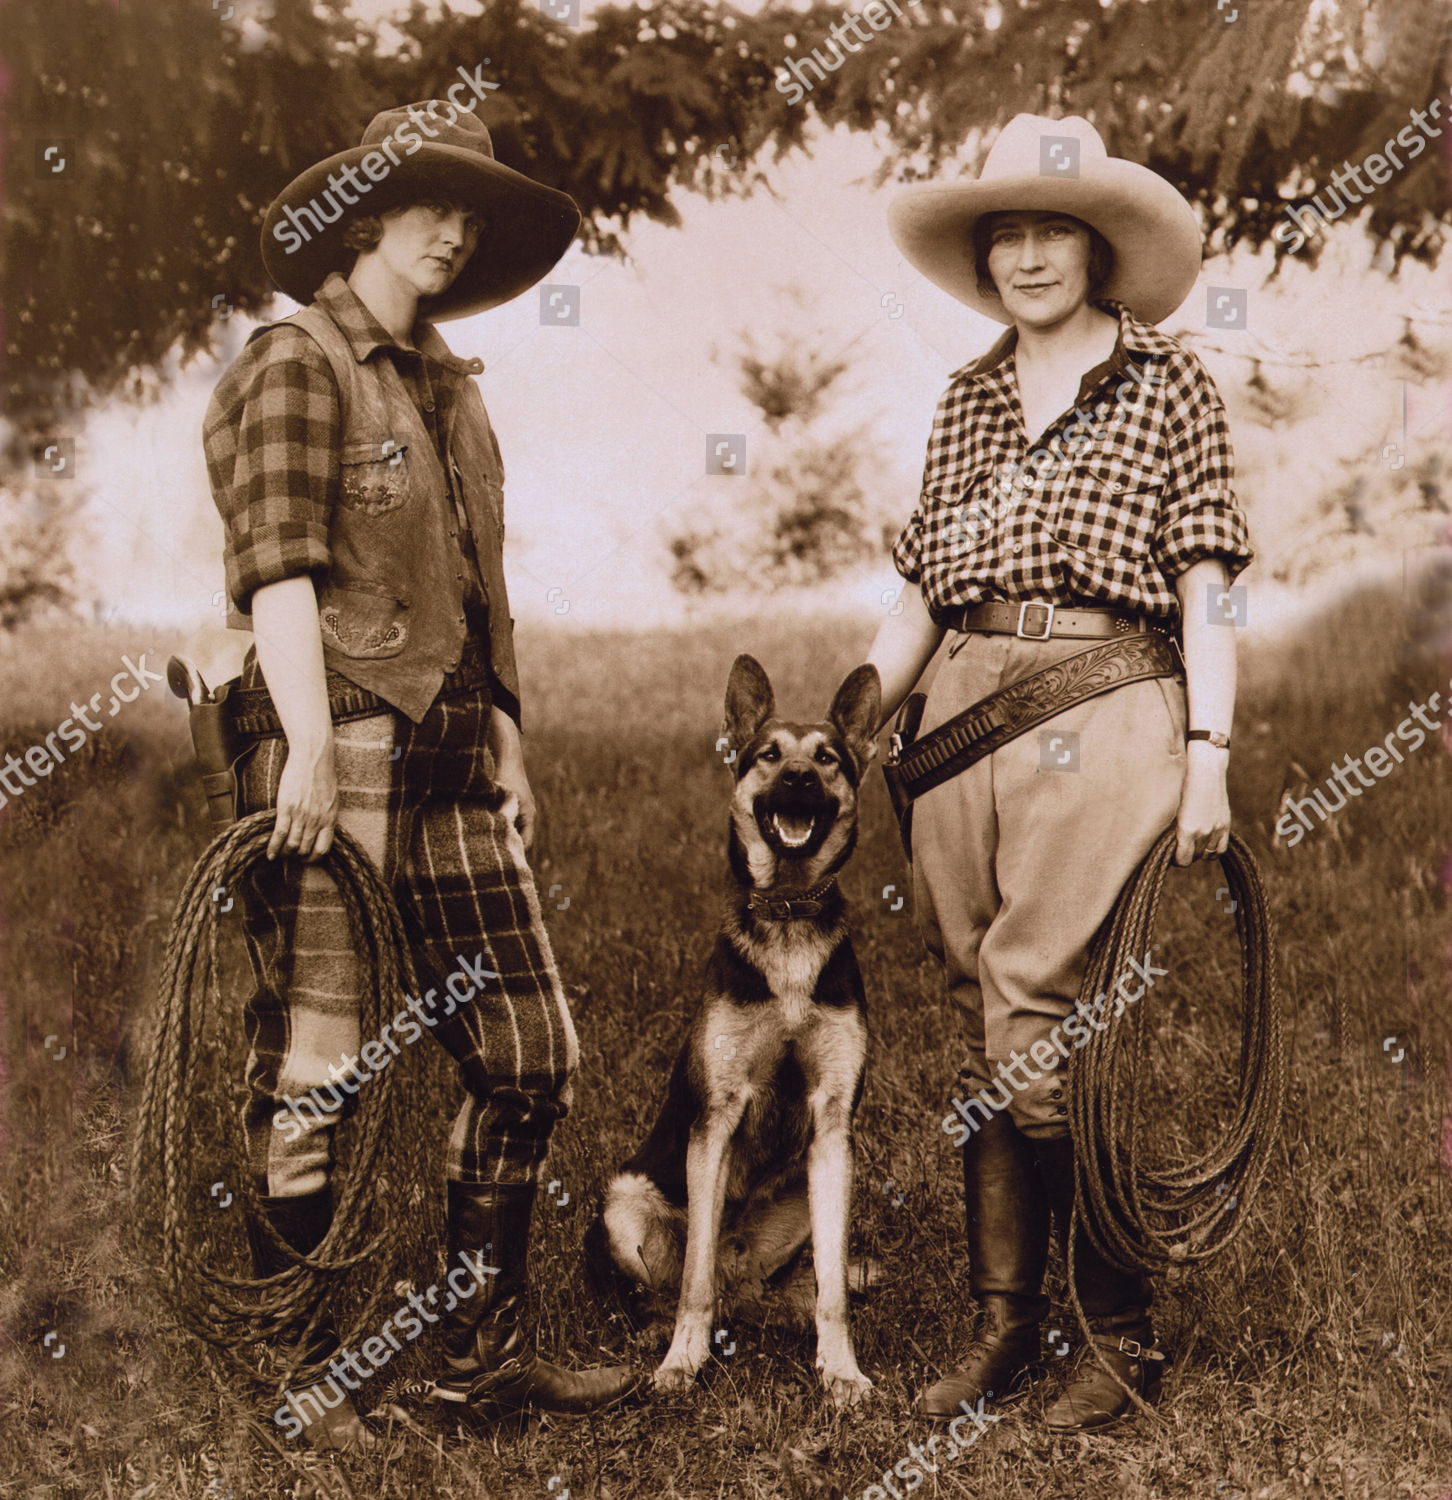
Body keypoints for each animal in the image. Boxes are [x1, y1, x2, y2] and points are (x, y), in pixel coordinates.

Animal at [591, 657, 882, 1404]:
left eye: (828, 758)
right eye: (769, 755)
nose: (800, 779)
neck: (788, 913)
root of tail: (741, 1284)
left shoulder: (832, 1128)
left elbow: (833, 1288)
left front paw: (841, 1368)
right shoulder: (715, 1121)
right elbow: (692, 1280)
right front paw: (681, 1362)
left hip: (807, 1192)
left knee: (777, 1284)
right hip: (624, 1198)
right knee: (679, 1283)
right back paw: (659, 1334)